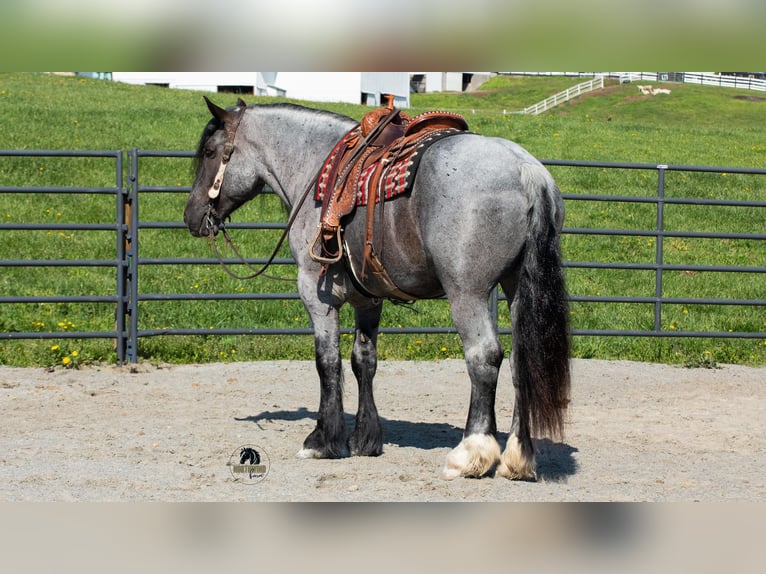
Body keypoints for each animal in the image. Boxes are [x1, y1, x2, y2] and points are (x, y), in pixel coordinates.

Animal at [184, 98, 571, 480]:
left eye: (209, 151)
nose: (191, 216)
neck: (313, 167)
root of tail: (525, 170)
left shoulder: (315, 294)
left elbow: (327, 362)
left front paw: (322, 440)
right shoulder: (368, 300)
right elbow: (363, 361)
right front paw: (365, 439)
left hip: (467, 294)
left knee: (484, 358)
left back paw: (470, 453)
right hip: (516, 288)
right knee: (522, 364)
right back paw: (518, 458)